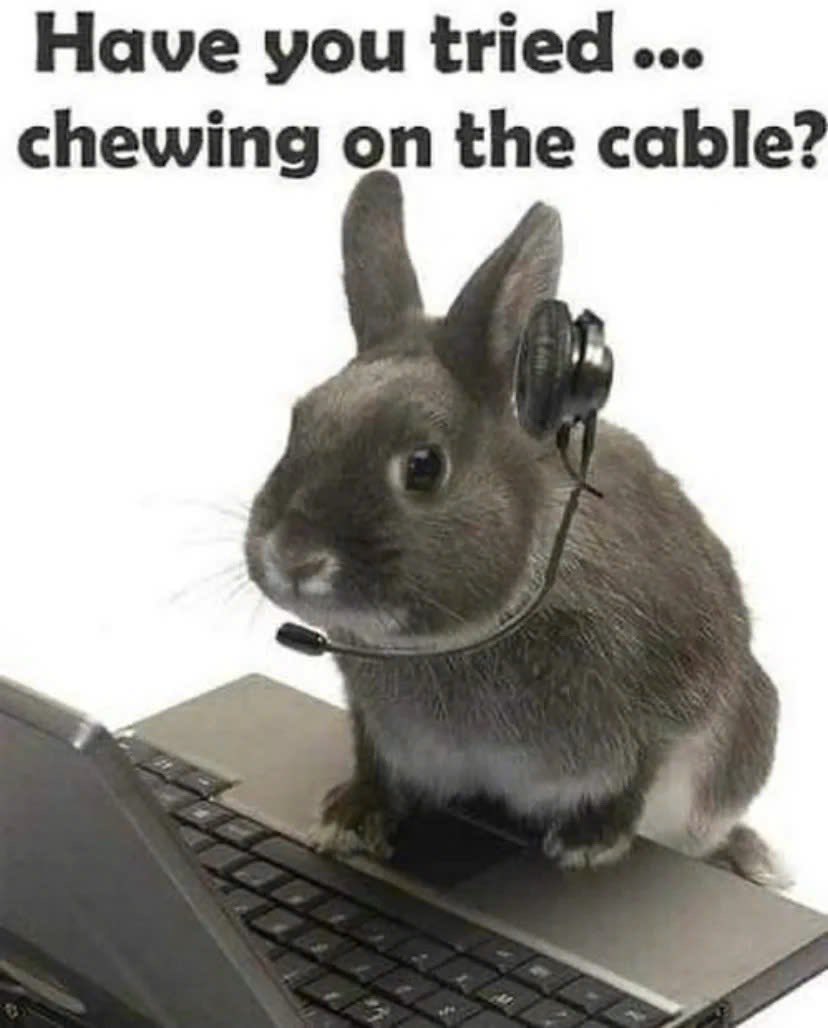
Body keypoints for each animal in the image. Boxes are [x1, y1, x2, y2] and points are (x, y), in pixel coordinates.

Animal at [245, 170, 786, 886]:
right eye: (299, 422)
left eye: (423, 467)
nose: (293, 557)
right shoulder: (377, 726)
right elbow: (374, 763)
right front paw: (349, 819)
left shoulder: (674, 696)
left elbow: (639, 771)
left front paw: (590, 842)